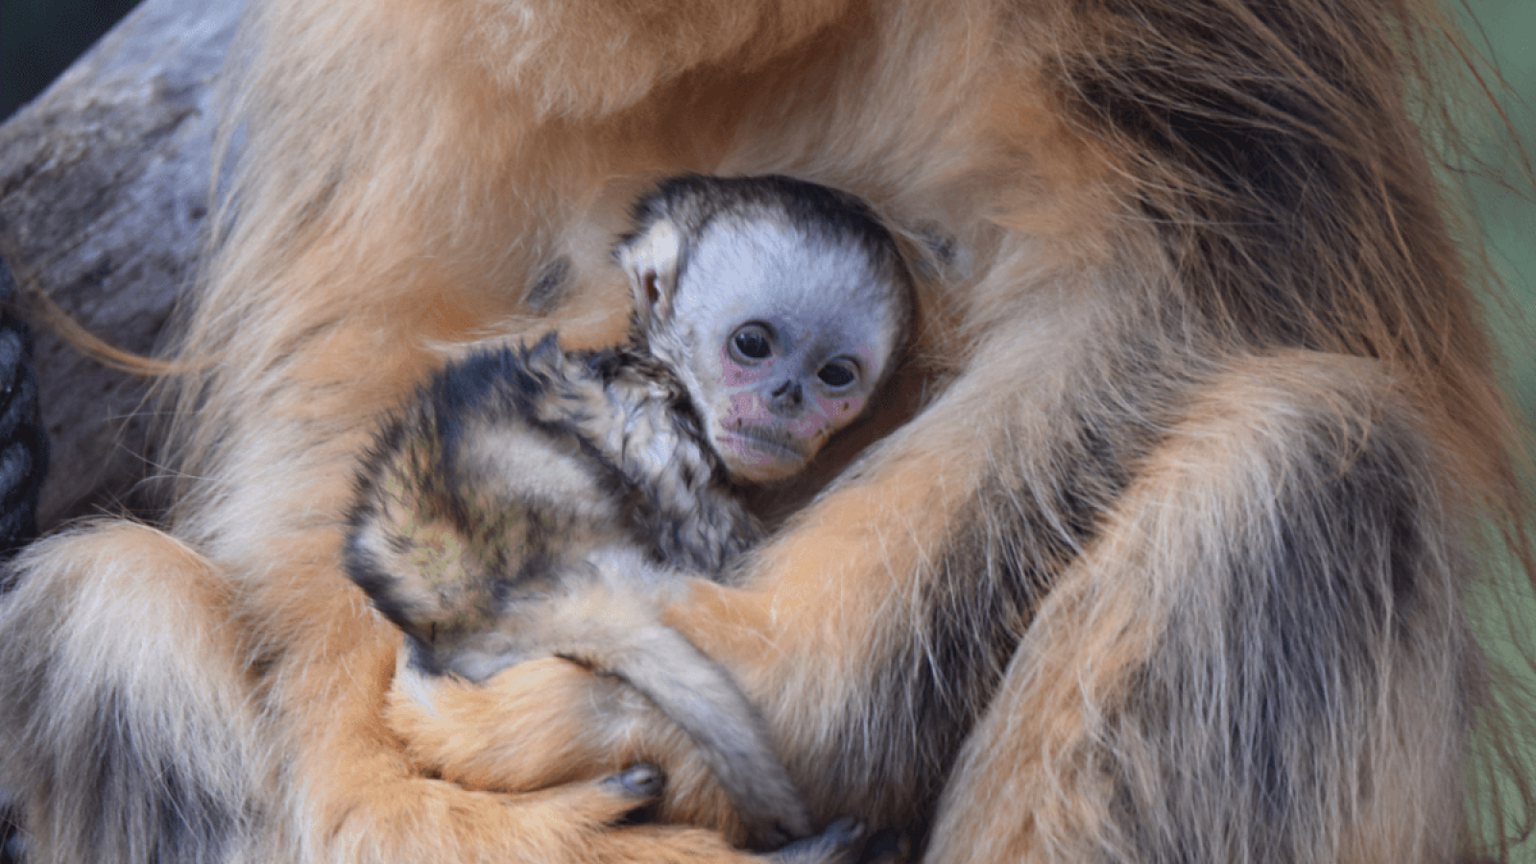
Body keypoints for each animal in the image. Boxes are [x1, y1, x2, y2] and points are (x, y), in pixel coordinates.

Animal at [343, 174, 912, 848]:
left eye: (835, 374)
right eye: (752, 344)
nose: (788, 396)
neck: (657, 369)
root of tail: (514, 597)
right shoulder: (658, 430)